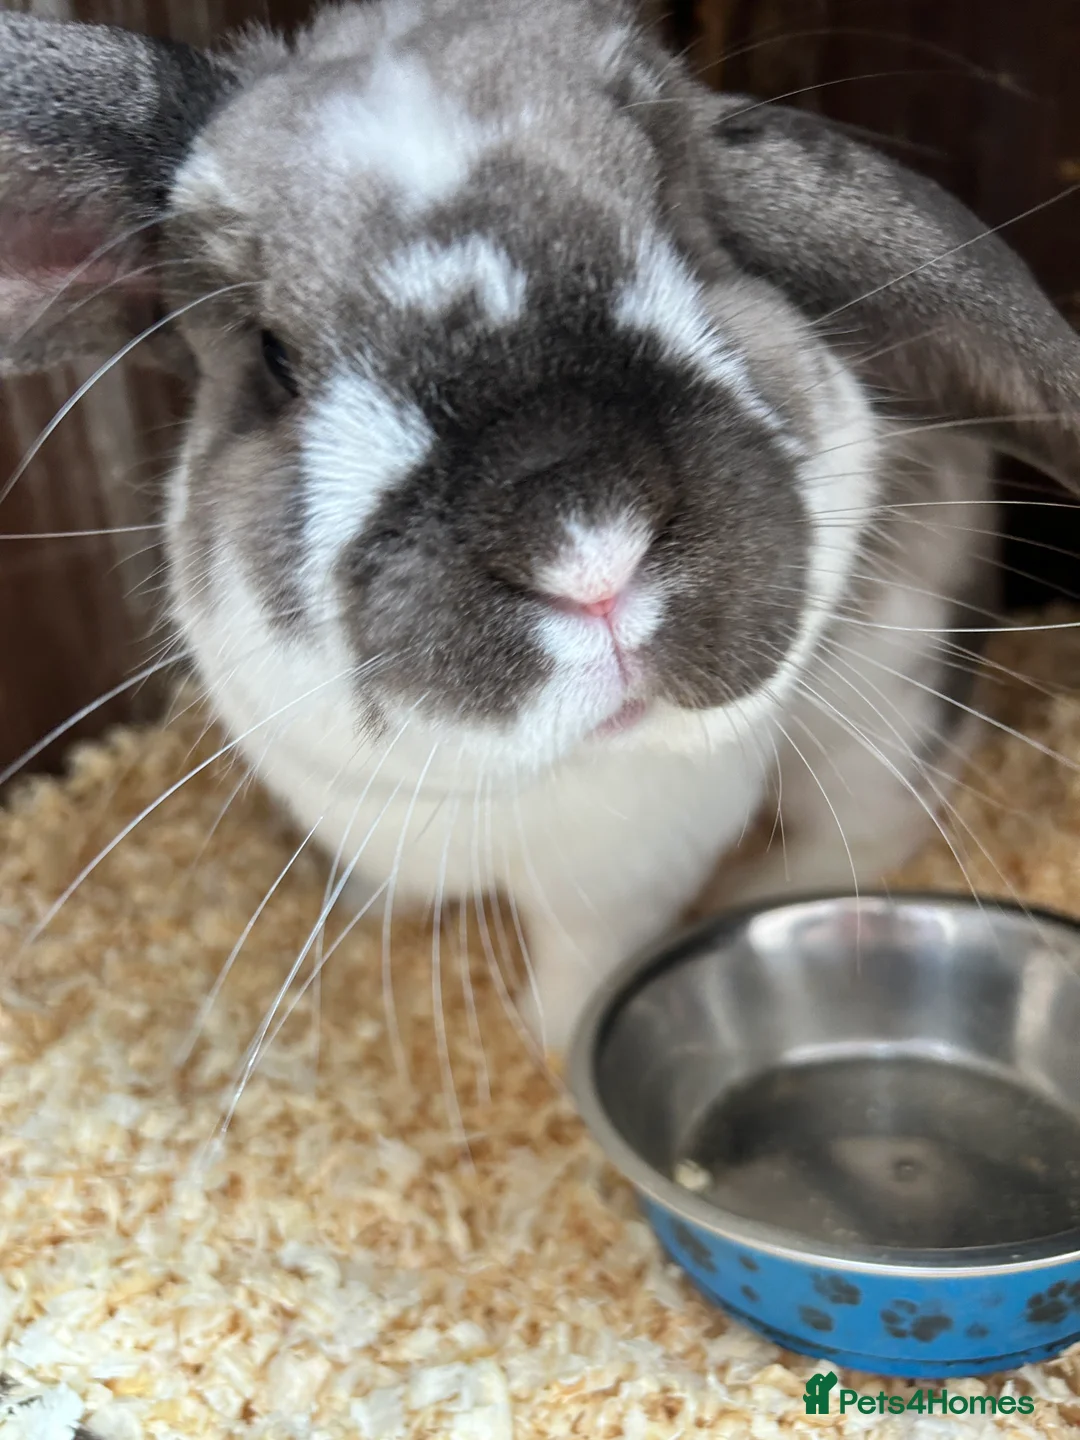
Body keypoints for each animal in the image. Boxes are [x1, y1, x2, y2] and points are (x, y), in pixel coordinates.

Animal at [4, 0, 1080, 1050]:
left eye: (686, 237)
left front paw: (546, 1048)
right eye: (273, 357)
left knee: (887, 808)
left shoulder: (619, 881)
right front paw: (367, 912)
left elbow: (583, 970)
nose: (587, 549)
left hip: (893, 685)